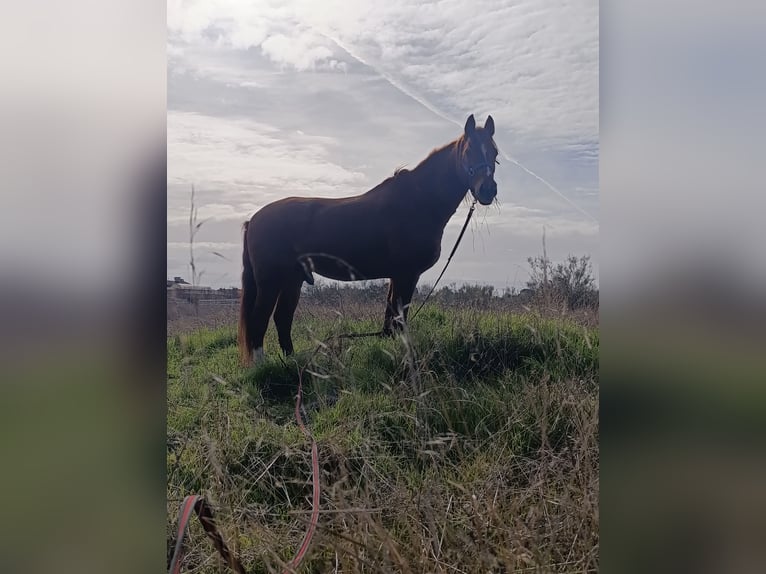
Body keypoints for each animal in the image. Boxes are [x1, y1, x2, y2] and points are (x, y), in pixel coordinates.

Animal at [238, 114, 498, 364]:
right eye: (469, 151)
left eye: (494, 152)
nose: (487, 190)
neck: (419, 201)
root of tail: (254, 220)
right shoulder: (407, 274)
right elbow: (399, 319)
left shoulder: (398, 275)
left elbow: (391, 320)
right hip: (270, 281)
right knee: (259, 320)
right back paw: (262, 366)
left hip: (293, 279)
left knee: (283, 317)